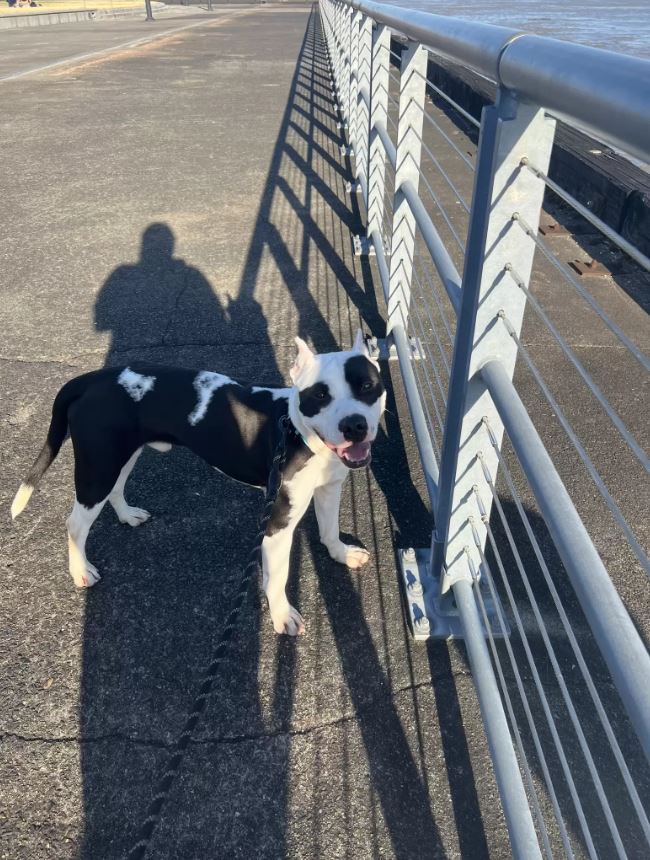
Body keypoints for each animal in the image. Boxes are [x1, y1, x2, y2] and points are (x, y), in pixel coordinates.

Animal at [10, 332, 382, 636]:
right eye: (319, 395)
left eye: (367, 386)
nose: (354, 425)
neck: (295, 430)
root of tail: (92, 378)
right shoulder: (277, 524)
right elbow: (277, 577)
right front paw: (281, 616)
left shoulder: (330, 488)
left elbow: (329, 529)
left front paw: (341, 554)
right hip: (98, 468)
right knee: (75, 523)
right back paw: (80, 571)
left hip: (121, 456)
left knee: (116, 490)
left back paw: (127, 515)